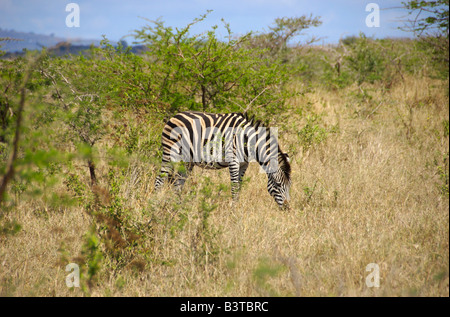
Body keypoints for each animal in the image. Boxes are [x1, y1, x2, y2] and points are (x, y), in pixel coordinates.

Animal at [153, 110, 290, 209]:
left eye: (289, 185)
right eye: (278, 184)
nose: (287, 208)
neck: (247, 139)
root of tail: (174, 116)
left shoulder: (244, 164)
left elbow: (239, 187)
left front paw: (236, 209)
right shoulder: (233, 160)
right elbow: (234, 187)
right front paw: (232, 211)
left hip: (188, 161)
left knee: (178, 183)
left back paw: (178, 208)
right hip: (170, 153)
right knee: (159, 179)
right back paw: (154, 205)